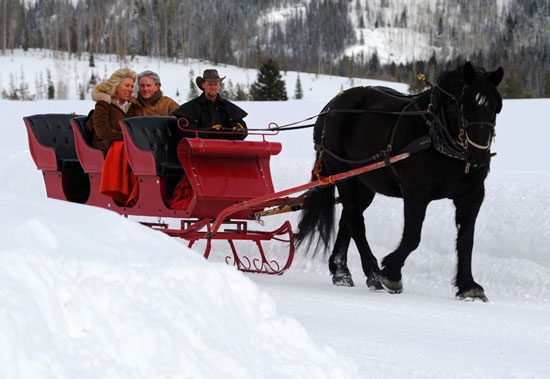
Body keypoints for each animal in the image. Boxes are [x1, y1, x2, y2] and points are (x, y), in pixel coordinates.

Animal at [298, 62, 504, 302]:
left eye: (497, 107)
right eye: (464, 106)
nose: (478, 158)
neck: (436, 135)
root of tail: (330, 107)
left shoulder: (471, 196)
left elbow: (466, 240)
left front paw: (468, 286)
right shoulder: (415, 193)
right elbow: (413, 237)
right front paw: (391, 273)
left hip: (364, 184)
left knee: (348, 217)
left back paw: (341, 271)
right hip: (344, 175)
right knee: (356, 221)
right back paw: (373, 273)